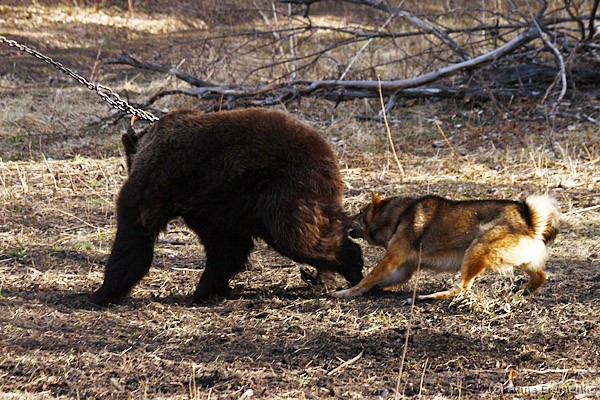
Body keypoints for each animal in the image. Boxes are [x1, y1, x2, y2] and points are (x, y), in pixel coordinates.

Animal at [90, 108, 364, 306]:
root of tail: (329, 158)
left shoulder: (157, 185)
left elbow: (134, 234)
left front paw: (102, 292)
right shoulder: (211, 206)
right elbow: (226, 248)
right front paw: (205, 291)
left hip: (285, 190)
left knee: (298, 237)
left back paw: (353, 268)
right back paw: (323, 276)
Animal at [331, 193, 559, 300]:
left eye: (360, 213)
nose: (343, 220)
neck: (399, 216)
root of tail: (529, 220)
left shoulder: (391, 259)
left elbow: (368, 278)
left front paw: (347, 292)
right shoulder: (402, 269)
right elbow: (377, 281)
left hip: (475, 250)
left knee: (462, 288)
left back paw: (428, 297)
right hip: (519, 261)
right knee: (541, 276)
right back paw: (524, 291)